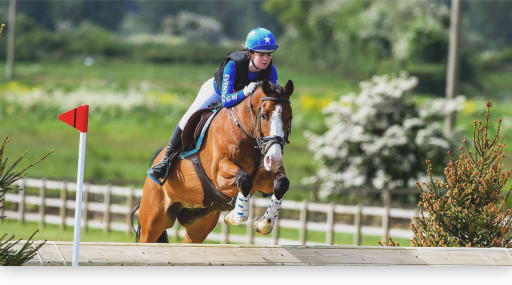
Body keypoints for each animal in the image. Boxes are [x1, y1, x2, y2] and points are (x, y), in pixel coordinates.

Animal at [133, 79, 292, 243]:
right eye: (264, 116)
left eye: (289, 118)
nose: (274, 159)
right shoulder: (219, 176)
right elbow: (244, 179)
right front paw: (235, 216)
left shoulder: (264, 178)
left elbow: (281, 184)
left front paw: (264, 223)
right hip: (153, 221)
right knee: (147, 236)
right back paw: (160, 169)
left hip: (200, 223)